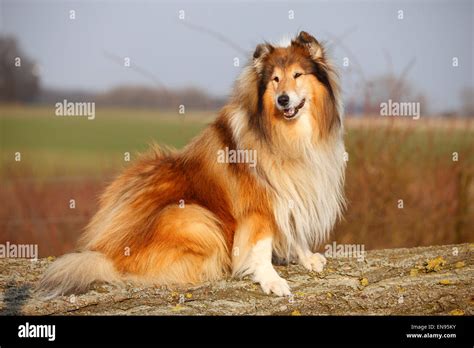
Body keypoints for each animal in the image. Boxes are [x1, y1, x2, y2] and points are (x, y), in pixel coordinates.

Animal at [39, 32, 344, 296]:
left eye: (297, 75)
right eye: (275, 80)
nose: (282, 100)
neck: (285, 134)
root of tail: (105, 253)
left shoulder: (291, 192)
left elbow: (294, 228)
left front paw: (306, 257)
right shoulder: (259, 204)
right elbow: (261, 245)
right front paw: (271, 280)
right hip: (191, 216)